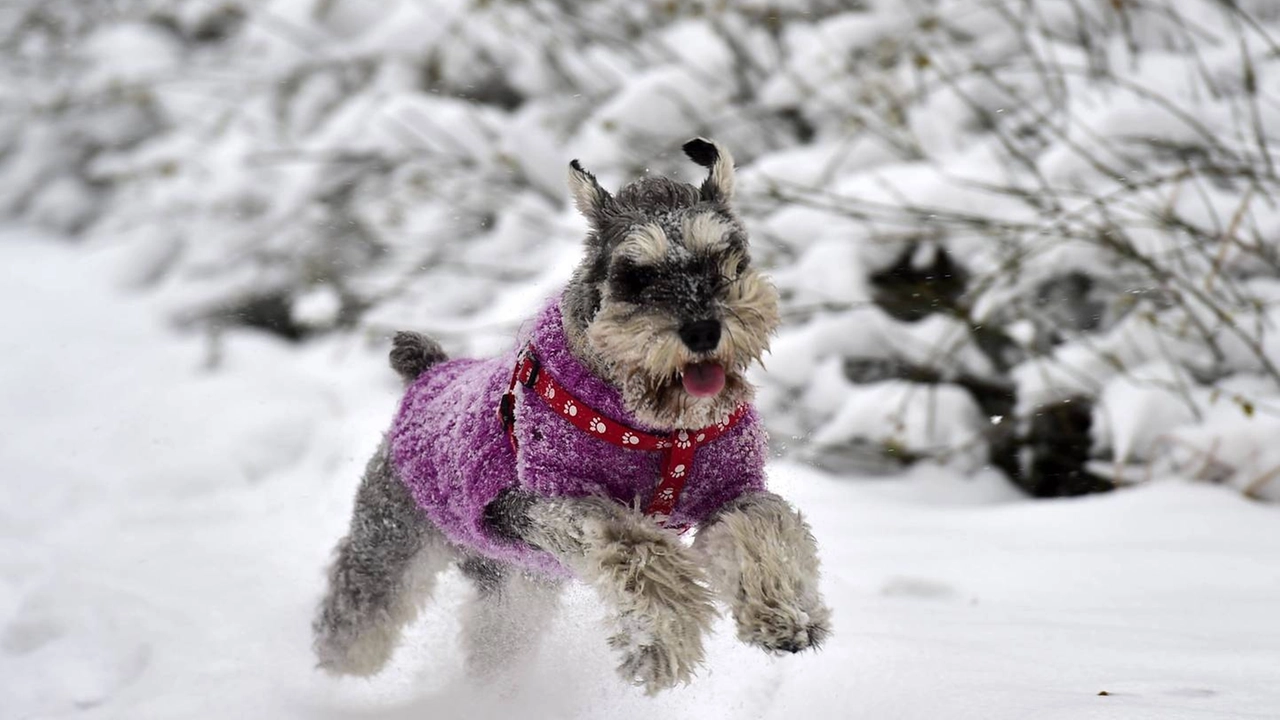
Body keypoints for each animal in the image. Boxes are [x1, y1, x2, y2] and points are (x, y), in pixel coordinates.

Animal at [314, 137, 824, 691]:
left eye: (723, 259)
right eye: (634, 276)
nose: (703, 330)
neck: (662, 429)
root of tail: (429, 372)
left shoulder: (732, 489)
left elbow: (765, 524)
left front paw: (785, 614)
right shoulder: (545, 501)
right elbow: (631, 545)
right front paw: (659, 642)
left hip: (515, 586)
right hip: (389, 548)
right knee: (352, 624)